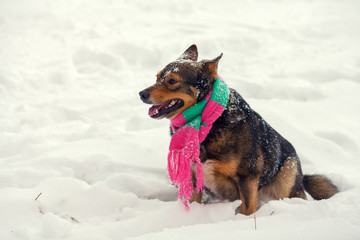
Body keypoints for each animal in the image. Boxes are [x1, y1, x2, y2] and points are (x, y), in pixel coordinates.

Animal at [139, 45, 338, 216]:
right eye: (156, 77)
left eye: (172, 81)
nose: (141, 94)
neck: (211, 122)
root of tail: (302, 179)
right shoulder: (195, 178)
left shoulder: (247, 177)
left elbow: (247, 209)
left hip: (285, 179)